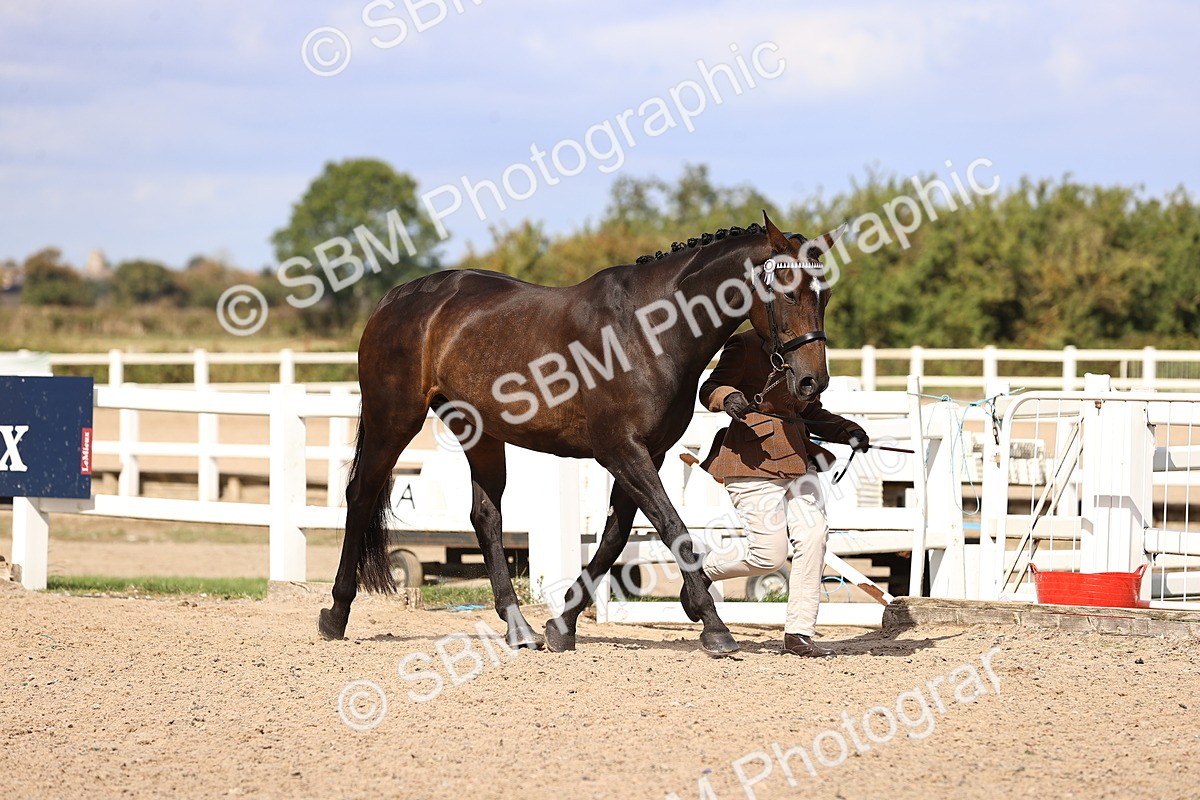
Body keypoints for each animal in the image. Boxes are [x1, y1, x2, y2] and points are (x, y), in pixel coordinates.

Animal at [319, 212, 844, 656]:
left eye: (824, 295)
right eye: (789, 291)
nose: (811, 383)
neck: (648, 330)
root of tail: (396, 299)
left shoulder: (647, 454)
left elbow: (614, 538)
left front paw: (562, 625)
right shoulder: (622, 451)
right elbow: (673, 528)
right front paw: (714, 627)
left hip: (479, 432)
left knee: (486, 517)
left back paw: (519, 628)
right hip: (393, 420)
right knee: (361, 496)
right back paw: (336, 614)